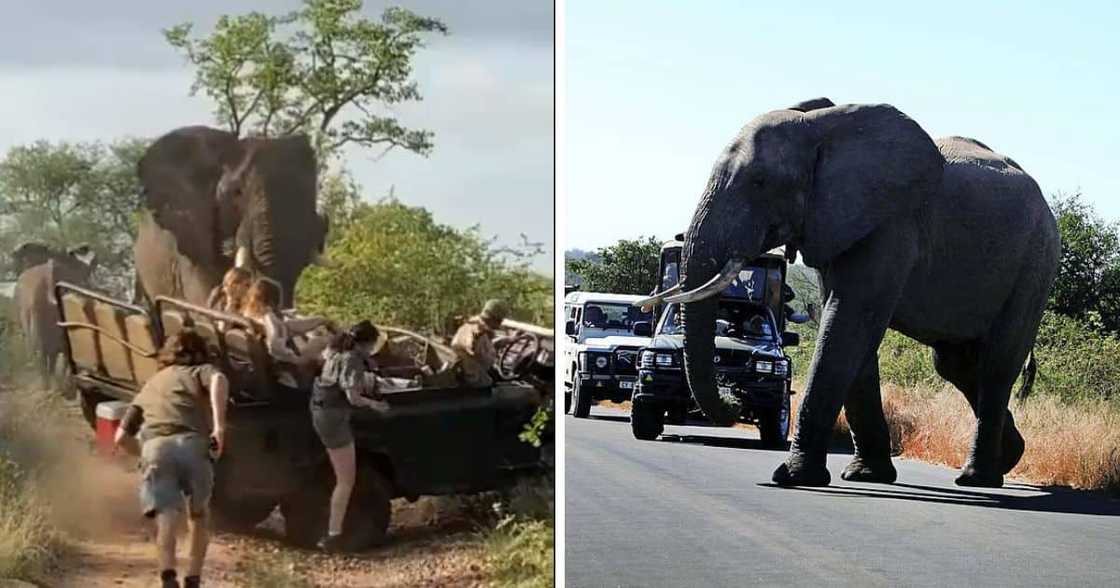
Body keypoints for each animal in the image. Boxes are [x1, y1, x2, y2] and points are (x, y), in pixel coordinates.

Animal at [667, 98, 1061, 488]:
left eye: (760, 182)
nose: (734, 398)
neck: (820, 127)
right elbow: (850, 332)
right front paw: (865, 475)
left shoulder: (892, 227)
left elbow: (848, 324)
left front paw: (792, 476)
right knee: (955, 363)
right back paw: (1010, 457)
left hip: (1036, 261)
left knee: (997, 362)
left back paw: (976, 478)